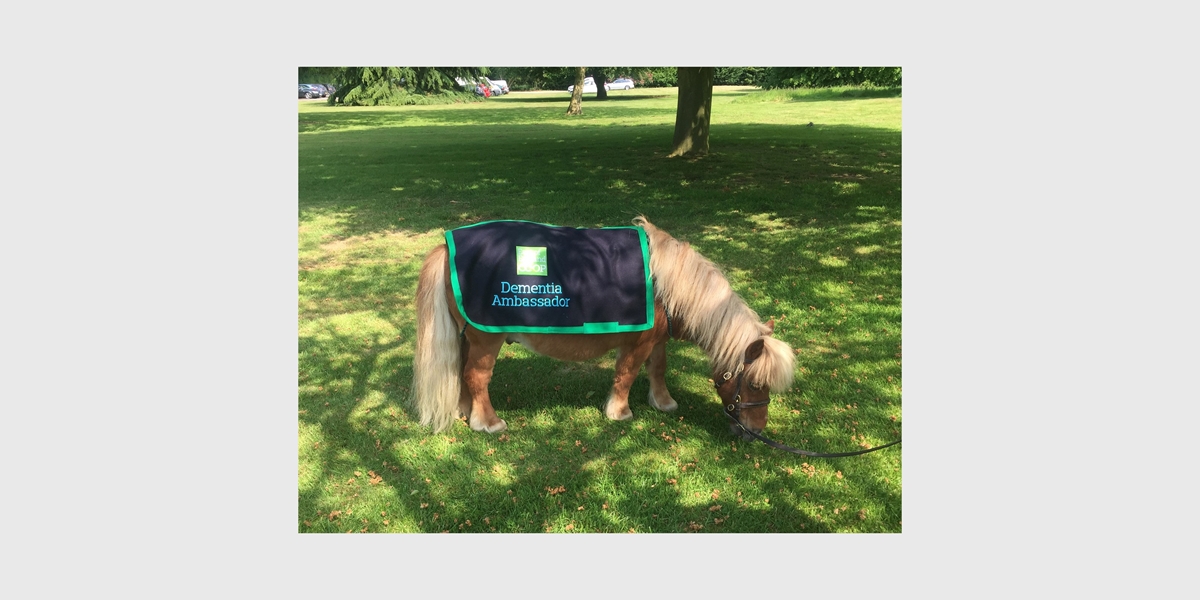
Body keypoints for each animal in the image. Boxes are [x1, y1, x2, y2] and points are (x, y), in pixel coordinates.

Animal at [410, 216, 795, 439]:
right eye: (755, 383)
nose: (756, 431)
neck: (666, 285)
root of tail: (446, 245)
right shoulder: (637, 343)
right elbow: (626, 374)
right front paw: (620, 411)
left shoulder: (657, 341)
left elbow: (658, 368)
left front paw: (663, 402)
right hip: (487, 339)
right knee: (476, 376)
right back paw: (486, 421)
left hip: (468, 338)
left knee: (461, 372)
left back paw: (465, 410)